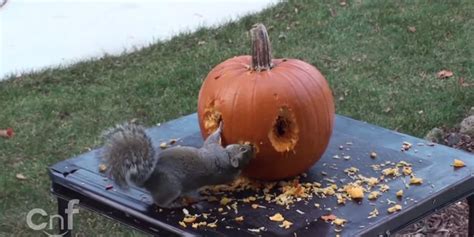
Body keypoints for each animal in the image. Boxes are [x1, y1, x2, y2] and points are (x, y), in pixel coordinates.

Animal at [101, 121, 256, 208]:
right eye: (243, 149)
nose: (251, 147)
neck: (228, 159)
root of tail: (148, 181)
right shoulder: (213, 149)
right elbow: (212, 139)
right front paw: (220, 126)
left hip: (170, 187)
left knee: (160, 201)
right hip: (171, 186)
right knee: (159, 202)